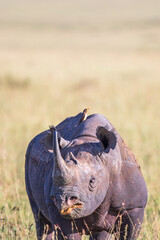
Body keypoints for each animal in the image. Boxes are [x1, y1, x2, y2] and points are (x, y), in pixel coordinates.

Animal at [25, 110, 148, 240]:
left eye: (92, 182)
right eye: (53, 178)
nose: (62, 199)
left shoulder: (134, 205)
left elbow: (129, 232)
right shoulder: (57, 209)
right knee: (41, 220)